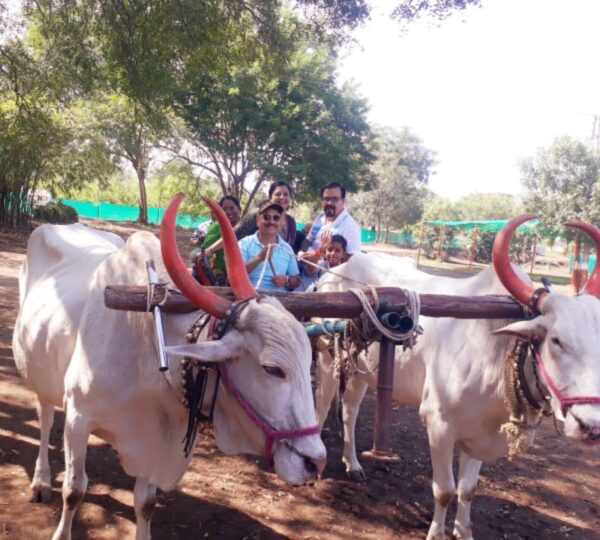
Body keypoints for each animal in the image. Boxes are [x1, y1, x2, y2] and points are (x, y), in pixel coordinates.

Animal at [12, 194, 326, 540]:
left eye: (308, 361)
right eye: (273, 369)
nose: (316, 463)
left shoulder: (155, 442)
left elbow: (145, 503)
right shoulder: (78, 419)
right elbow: (74, 490)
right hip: (40, 378)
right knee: (44, 421)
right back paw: (40, 481)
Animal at [314, 215, 600, 540]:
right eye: (557, 341)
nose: (591, 428)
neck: (497, 354)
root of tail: (337, 271)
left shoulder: (478, 433)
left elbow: (468, 490)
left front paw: (463, 532)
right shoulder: (439, 424)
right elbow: (445, 491)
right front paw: (436, 533)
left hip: (362, 371)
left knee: (349, 410)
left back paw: (353, 464)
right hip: (326, 356)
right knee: (322, 403)